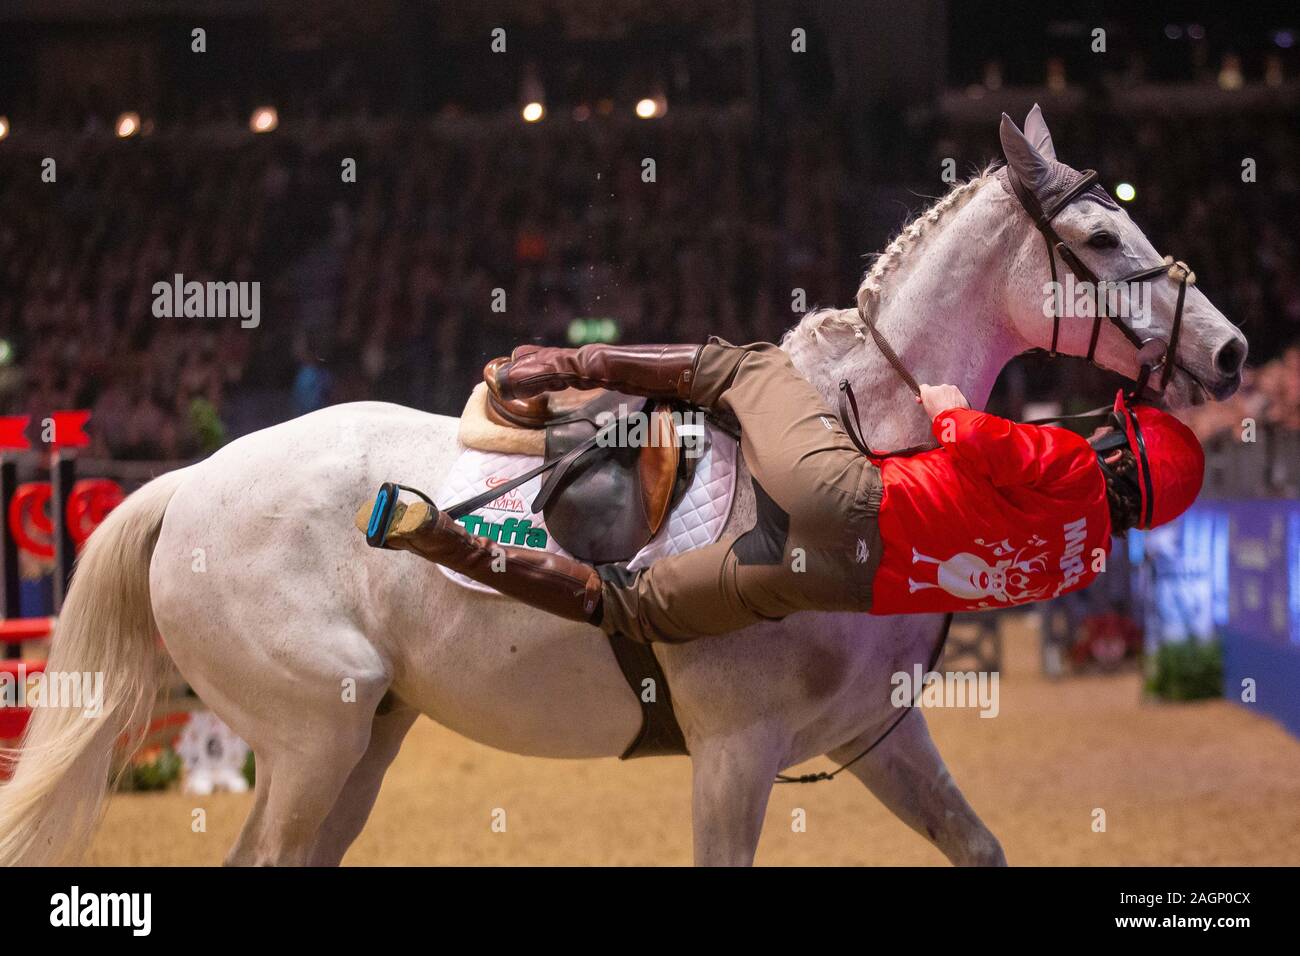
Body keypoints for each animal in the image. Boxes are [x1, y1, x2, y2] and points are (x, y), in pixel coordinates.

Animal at [0, 106, 1242, 868]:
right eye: (1099, 236)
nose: (1228, 351)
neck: (857, 442)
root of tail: (187, 484)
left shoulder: (877, 735)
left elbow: (976, 843)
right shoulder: (738, 752)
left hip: (359, 740)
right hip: (314, 738)